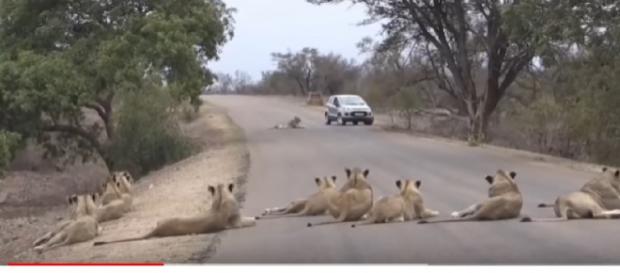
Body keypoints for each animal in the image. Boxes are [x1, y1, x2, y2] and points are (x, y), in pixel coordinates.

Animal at [92, 183, 256, 244]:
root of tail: (157, 229)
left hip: (160, 220)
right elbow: (251, 220)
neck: (221, 196)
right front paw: (256, 218)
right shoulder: (236, 222)